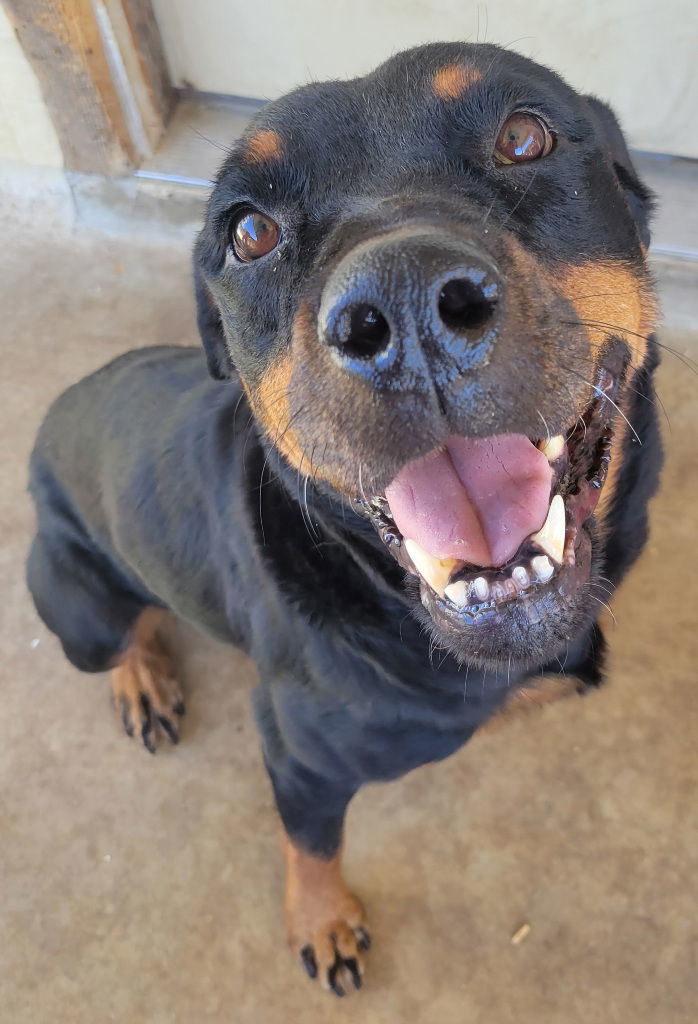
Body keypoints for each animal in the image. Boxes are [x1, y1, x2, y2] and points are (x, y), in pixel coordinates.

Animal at [25, 44, 659, 995]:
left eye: (525, 135)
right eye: (248, 232)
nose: (404, 310)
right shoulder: (300, 762)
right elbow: (312, 845)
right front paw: (322, 922)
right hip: (77, 606)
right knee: (120, 632)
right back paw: (141, 675)